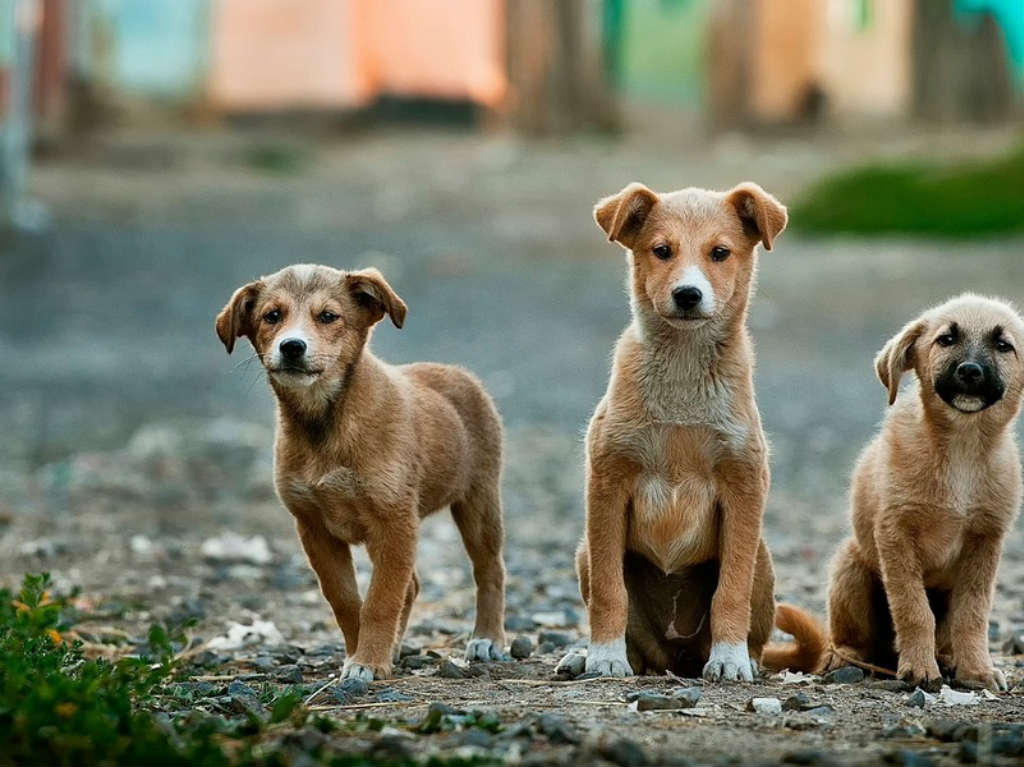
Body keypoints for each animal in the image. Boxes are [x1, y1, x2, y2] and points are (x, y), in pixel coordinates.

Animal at [215, 262, 507, 675]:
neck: (325, 423)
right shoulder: (314, 527)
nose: (292, 347)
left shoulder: (394, 521)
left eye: (328, 316)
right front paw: (360, 654)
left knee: (489, 570)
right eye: (272, 316)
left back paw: (487, 638)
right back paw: (396, 647)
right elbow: (346, 600)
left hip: (478, 502)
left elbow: (381, 600)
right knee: (412, 586)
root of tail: (457, 372)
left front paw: (368, 661)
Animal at [557, 182, 786, 679]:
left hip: (762, 557)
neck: (683, 371)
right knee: (634, 638)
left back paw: (744, 658)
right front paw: (603, 656)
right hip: (585, 551)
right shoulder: (607, 483)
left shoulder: (744, 486)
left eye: (720, 253)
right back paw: (591, 655)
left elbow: (730, 591)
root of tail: (676, 657)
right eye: (662, 251)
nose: (687, 294)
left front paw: (729, 659)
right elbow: (609, 591)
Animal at [765, 290, 1024, 688]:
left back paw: (948, 659)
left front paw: (976, 670)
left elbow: (973, 614)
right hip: (851, 567)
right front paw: (919, 668)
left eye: (1003, 345)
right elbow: (913, 608)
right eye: (946, 339)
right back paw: (848, 660)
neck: (961, 450)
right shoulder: (896, 534)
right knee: (849, 640)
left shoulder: (985, 542)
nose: (970, 371)